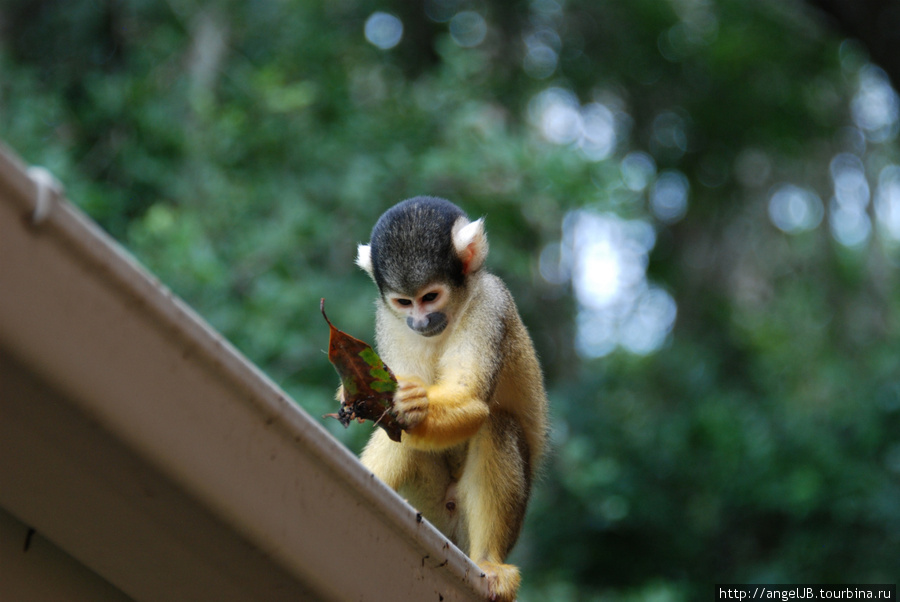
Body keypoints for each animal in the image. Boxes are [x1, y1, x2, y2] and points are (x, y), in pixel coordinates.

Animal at [350, 197, 548, 600]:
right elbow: (391, 410)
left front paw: (415, 404)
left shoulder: (490, 305)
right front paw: (392, 398)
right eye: (404, 302)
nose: (420, 322)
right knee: (403, 439)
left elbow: (470, 399)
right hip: (428, 507)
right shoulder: (387, 320)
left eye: (430, 297)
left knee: (497, 424)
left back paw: (490, 561)